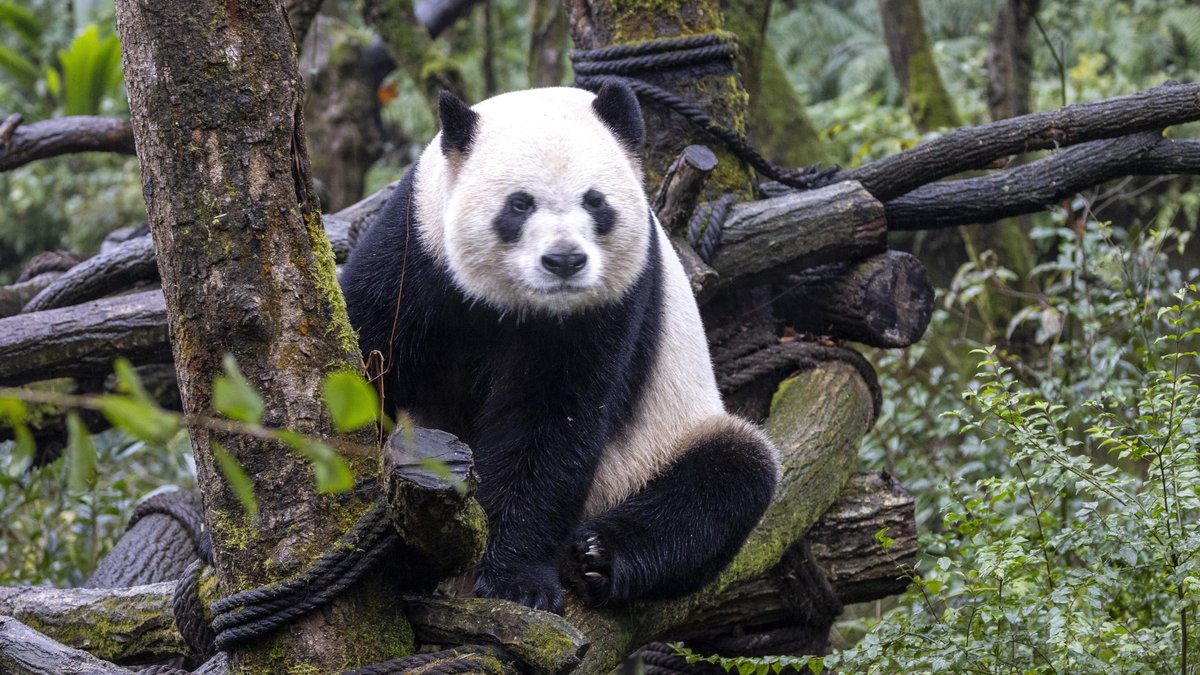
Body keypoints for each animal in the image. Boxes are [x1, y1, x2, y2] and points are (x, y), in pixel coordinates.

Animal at [341, 83, 779, 614]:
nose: (564, 260)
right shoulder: (416, 249)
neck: (518, 304)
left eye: (595, 202)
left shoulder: (608, 305)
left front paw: (516, 580)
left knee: (729, 479)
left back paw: (597, 556)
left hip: (660, 443)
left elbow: (551, 423)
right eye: (519, 204)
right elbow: (368, 341)